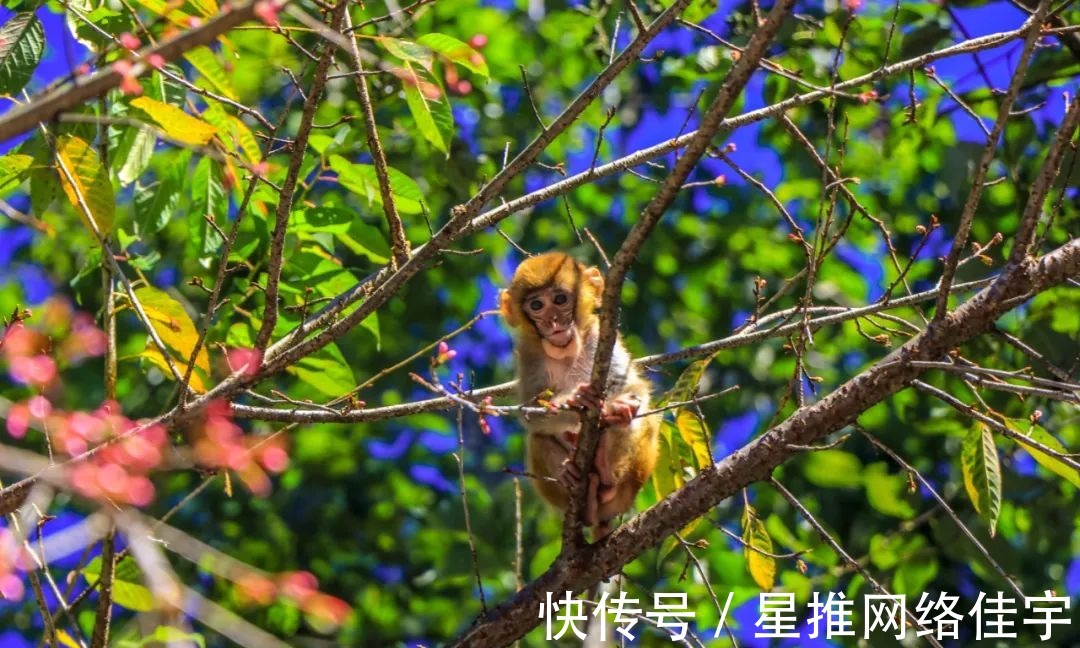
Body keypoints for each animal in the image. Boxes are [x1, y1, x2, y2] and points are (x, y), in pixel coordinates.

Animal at [496, 250, 656, 533]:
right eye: (536, 306)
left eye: (560, 299)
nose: (553, 322)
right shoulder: (529, 354)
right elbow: (531, 415)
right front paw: (575, 399)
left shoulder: (600, 336)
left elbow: (635, 389)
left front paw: (621, 405)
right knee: (537, 438)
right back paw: (577, 484)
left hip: (632, 480)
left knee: (640, 421)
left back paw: (605, 468)